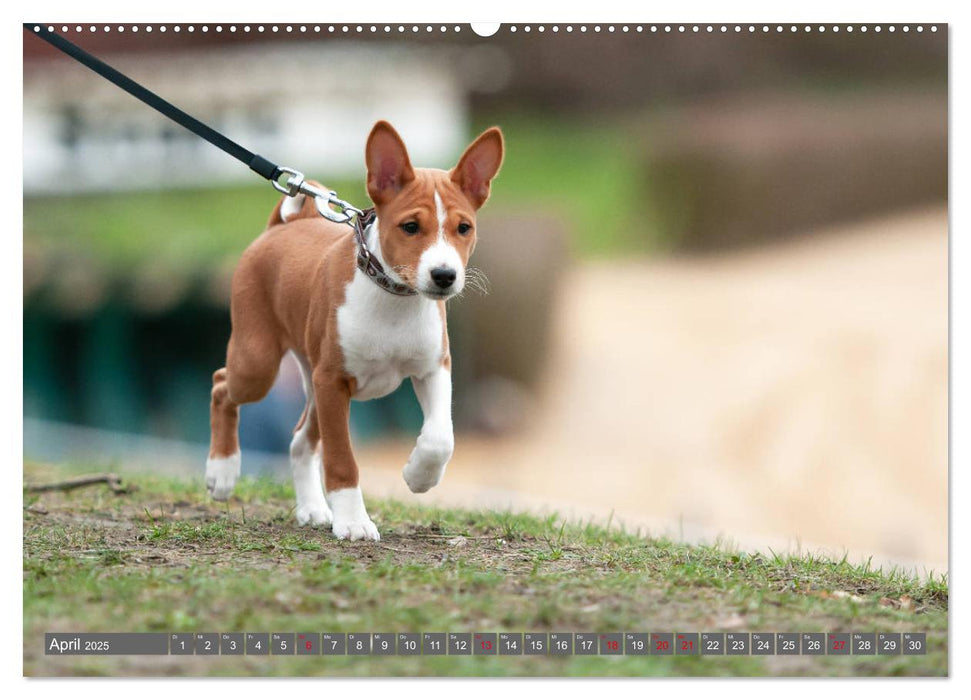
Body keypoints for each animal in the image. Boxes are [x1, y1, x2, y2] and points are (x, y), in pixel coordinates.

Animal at [208, 120, 504, 540]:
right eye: (410, 227)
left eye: (464, 228)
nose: (444, 275)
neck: (394, 300)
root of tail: (281, 227)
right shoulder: (333, 382)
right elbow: (342, 459)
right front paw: (353, 521)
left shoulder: (433, 369)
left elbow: (440, 437)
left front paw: (419, 476)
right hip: (259, 364)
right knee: (221, 385)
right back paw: (222, 472)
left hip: (311, 378)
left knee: (299, 442)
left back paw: (312, 509)